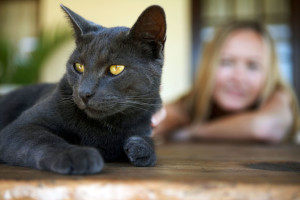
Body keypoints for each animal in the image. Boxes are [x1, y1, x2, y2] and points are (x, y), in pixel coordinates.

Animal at [0, 4, 166, 173]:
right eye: (78, 66)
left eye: (116, 68)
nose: (84, 93)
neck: (107, 126)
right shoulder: (20, 128)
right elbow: (44, 140)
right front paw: (77, 155)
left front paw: (142, 148)